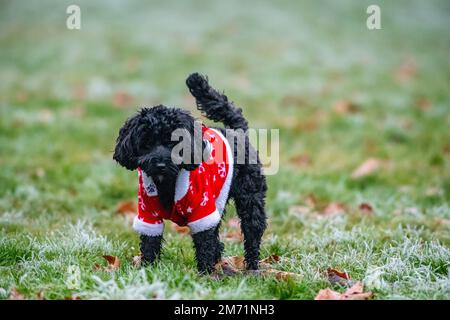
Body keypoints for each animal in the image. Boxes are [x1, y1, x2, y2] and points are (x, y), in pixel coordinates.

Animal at [113, 74, 268, 274]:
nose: (160, 164)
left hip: (250, 198)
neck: (167, 184)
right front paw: (148, 269)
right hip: (218, 200)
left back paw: (252, 267)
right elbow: (149, 242)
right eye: (146, 143)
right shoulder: (148, 213)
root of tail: (238, 132)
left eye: (175, 143)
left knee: (252, 232)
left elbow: (204, 242)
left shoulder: (201, 209)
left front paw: (205, 273)